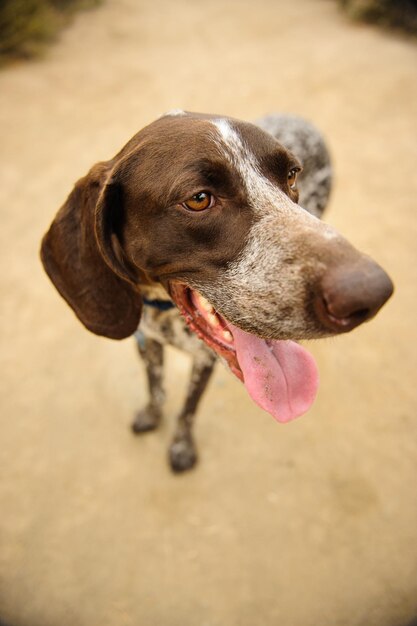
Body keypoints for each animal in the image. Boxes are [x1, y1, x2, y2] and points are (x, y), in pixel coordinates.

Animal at [40, 111, 392, 468]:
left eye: (291, 176)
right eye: (198, 199)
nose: (372, 291)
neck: (163, 310)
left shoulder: (203, 360)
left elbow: (188, 408)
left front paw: (182, 445)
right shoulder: (147, 340)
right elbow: (154, 384)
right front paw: (152, 414)